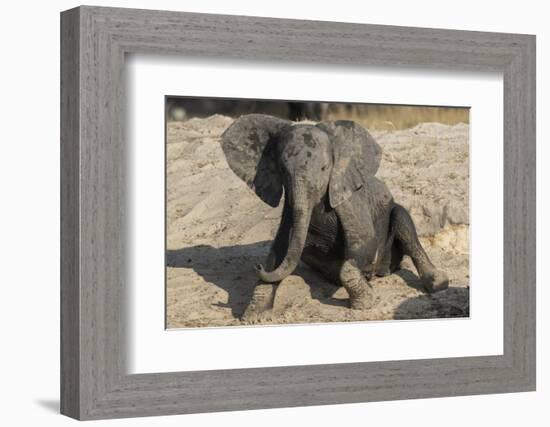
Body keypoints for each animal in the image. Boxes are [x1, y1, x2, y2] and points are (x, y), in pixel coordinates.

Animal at [220, 113, 448, 320]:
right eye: (283, 171)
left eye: (324, 169)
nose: (256, 266)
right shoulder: (289, 209)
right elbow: (279, 251)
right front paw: (253, 316)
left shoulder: (347, 199)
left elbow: (364, 241)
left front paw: (365, 303)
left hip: (395, 218)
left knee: (404, 223)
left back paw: (438, 283)